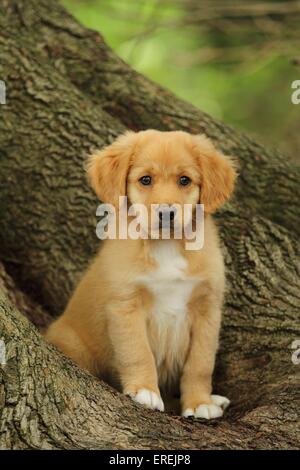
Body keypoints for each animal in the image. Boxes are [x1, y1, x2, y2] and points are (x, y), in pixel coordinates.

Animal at [45, 129, 237, 418]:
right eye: (146, 179)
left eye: (184, 180)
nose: (167, 213)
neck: (166, 245)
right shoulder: (125, 305)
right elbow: (138, 352)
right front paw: (145, 391)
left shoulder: (207, 309)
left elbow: (200, 364)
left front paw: (199, 402)